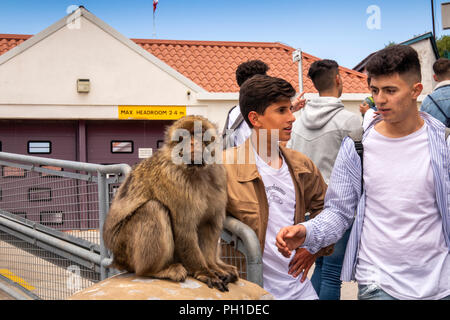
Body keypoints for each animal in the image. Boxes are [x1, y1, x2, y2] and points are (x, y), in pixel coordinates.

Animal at [102, 115, 239, 292]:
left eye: (199, 134)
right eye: (184, 137)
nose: (192, 144)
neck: (195, 171)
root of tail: (117, 259)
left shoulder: (219, 175)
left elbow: (209, 224)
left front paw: (212, 266)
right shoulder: (173, 181)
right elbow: (184, 230)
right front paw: (204, 271)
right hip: (125, 249)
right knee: (153, 208)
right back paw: (155, 270)